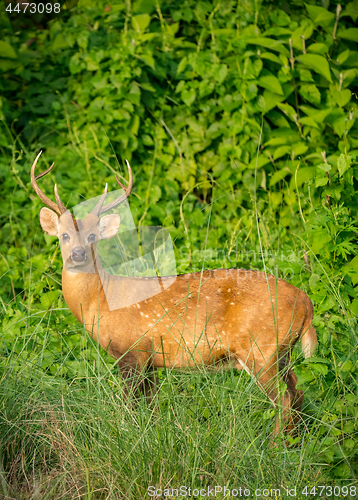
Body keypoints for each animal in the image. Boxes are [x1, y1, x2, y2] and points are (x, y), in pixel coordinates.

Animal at [30, 150, 316, 436]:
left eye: (92, 236)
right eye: (64, 235)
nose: (78, 255)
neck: (102, 301)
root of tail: (306, 301)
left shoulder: (132, 351)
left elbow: (129, 407)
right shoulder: (151, 361)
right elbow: (151, 407)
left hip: (261, 348)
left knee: (284, 398)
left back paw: (274, 442)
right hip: (281, 351)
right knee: (298, 391)